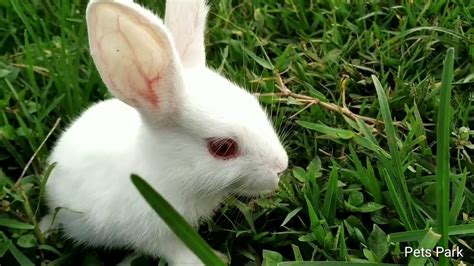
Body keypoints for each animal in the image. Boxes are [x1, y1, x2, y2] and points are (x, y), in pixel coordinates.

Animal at [42, 0, 288, 264]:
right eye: (223, 148)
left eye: (253, 102)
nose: (281, 167)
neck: (167, 170)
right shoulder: (154, 233)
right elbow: (176, 252)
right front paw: (216, 259)